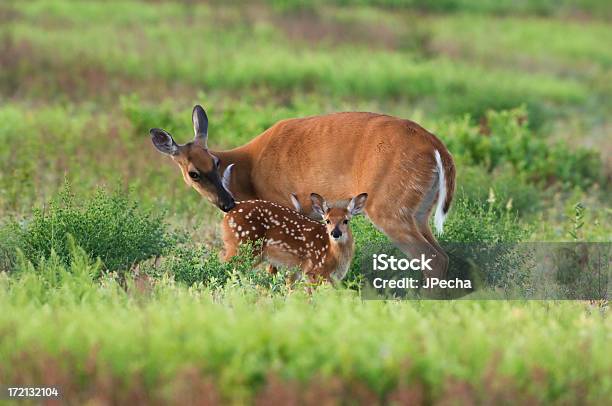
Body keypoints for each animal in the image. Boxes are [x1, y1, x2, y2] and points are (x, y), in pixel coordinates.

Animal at [152, 104, 454, 280]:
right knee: (444, 255)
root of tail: (437, 147)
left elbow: (275, 266)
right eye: (194, 172)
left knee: (434, 258)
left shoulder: (280, 201)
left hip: (388, 206)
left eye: (215, 163)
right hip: (419, 211)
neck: (247, 170)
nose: (227, 203)